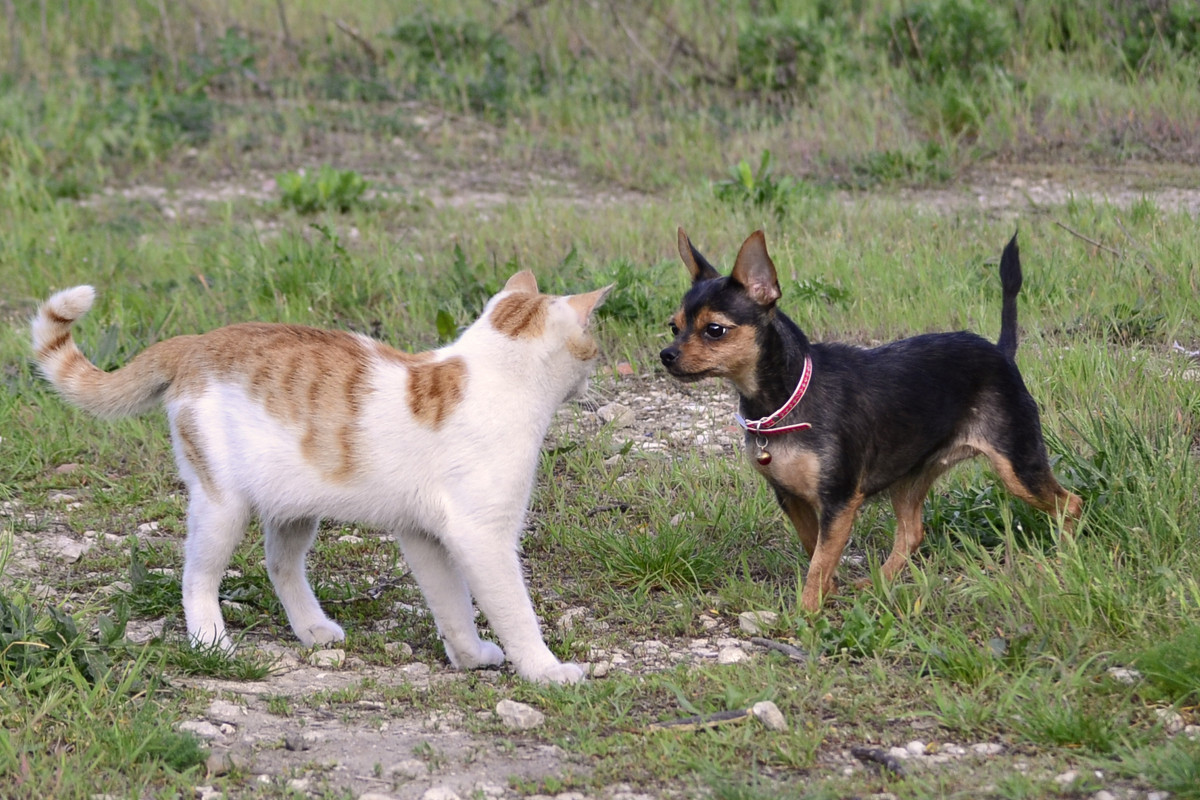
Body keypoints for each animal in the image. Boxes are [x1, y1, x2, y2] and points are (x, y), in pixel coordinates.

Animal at [32, 272, 609, 686]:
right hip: (223, 508)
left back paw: (311, 628)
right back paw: (213, 644)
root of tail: (196, 341)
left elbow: (453, 608)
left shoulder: (424, 536)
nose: (595, 375)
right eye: (594, 344)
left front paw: (469, 657)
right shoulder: (482, 538)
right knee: (196, 578)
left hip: (294, 509)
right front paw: (545, 670)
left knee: (279, 566)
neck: (493, 377)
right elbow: (514, 613)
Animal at [662, 230, 1084, 614]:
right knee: (912, 533)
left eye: (715, 330)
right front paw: (827, 593)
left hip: (1017, 466)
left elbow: (819, 560)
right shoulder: (792, 498)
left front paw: (807, 614)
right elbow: (815, 550)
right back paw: (879, 583)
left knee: (1071, 505)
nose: (665, 354)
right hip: (911, 474)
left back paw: (1063, 560)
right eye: (674, 326)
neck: (785, 398)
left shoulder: (839, 501)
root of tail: (1001, 353)